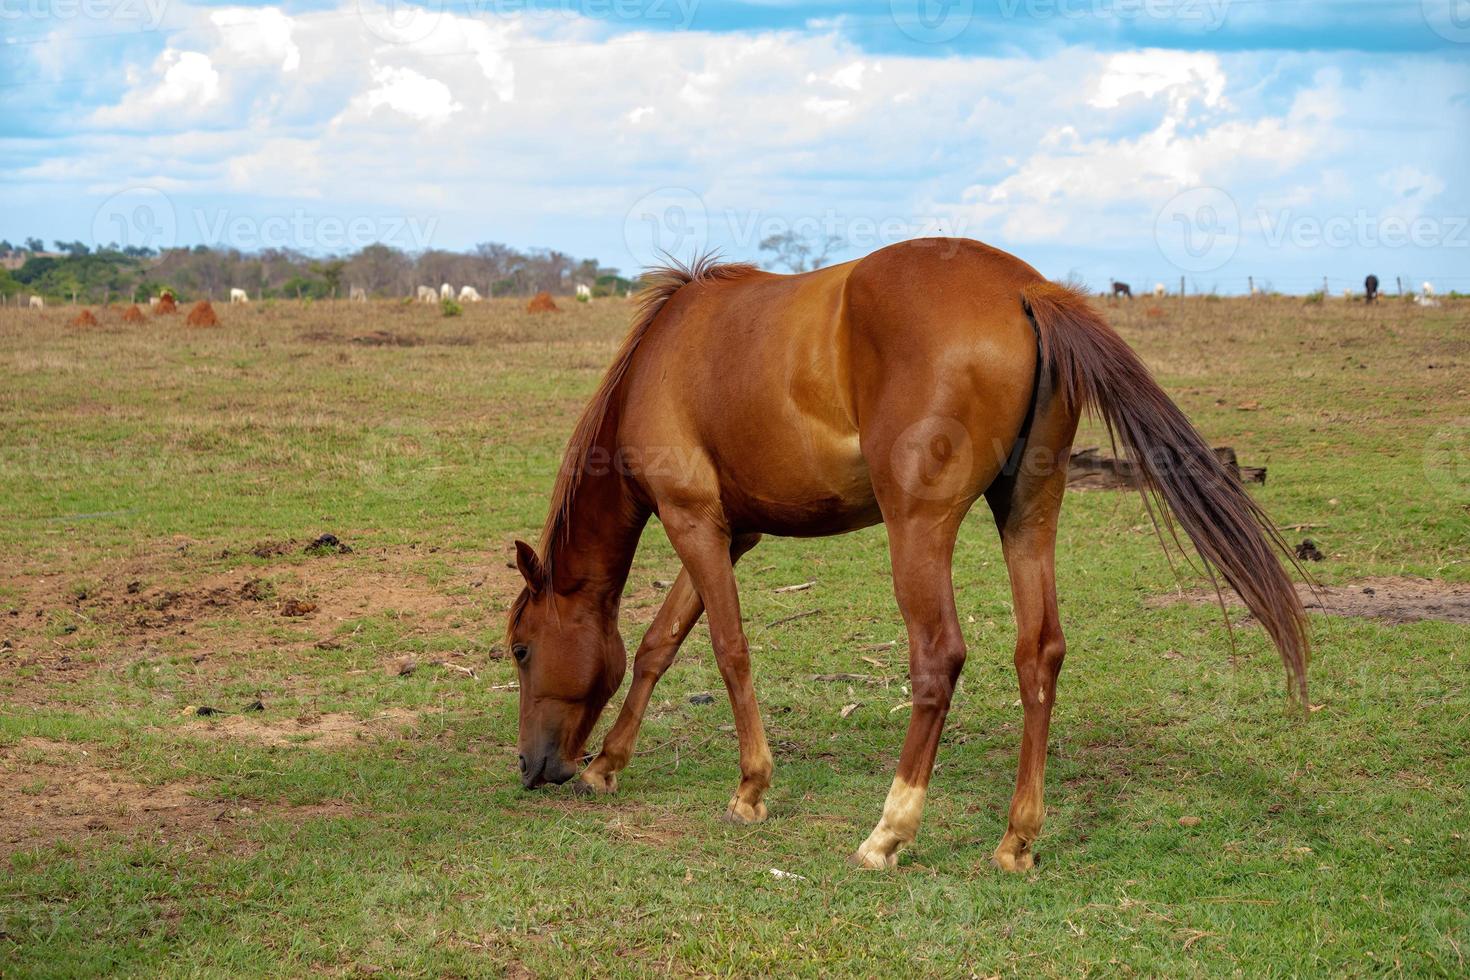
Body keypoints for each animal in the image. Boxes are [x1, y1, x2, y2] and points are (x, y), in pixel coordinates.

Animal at [508, 240, 1311, 869]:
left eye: (519, 649)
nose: (533, 768)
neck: (660, 360)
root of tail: (1026, 289)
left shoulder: (694, 521)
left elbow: (726, 649)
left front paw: (750, 788)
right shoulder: (732, 533)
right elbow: (658, 643)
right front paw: (610, 765)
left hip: (918, 530)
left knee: (938, 659)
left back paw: (889, 831)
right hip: (1027, 516)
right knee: (1040, 653)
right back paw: (1016, 839)